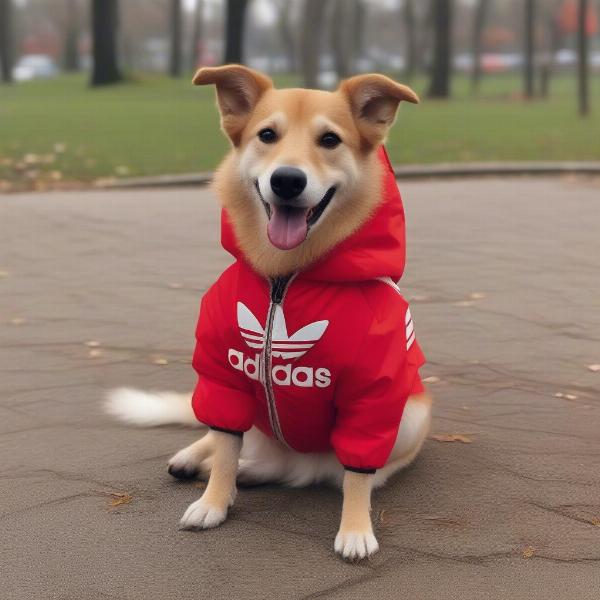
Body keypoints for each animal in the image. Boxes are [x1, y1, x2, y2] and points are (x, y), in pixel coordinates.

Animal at [105, 67, 428, 564]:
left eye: (330, 140)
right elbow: (222, 445)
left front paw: (356, 527)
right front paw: (214, 502)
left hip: (409, 418)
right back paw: (201, 460)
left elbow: (357, 477)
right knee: (222, 439)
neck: (285, 276)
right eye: (267, 135)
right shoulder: (224, 377)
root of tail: (294, 461)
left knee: (317, 470)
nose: (288, 180)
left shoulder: (373, 397)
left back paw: (255, 471)